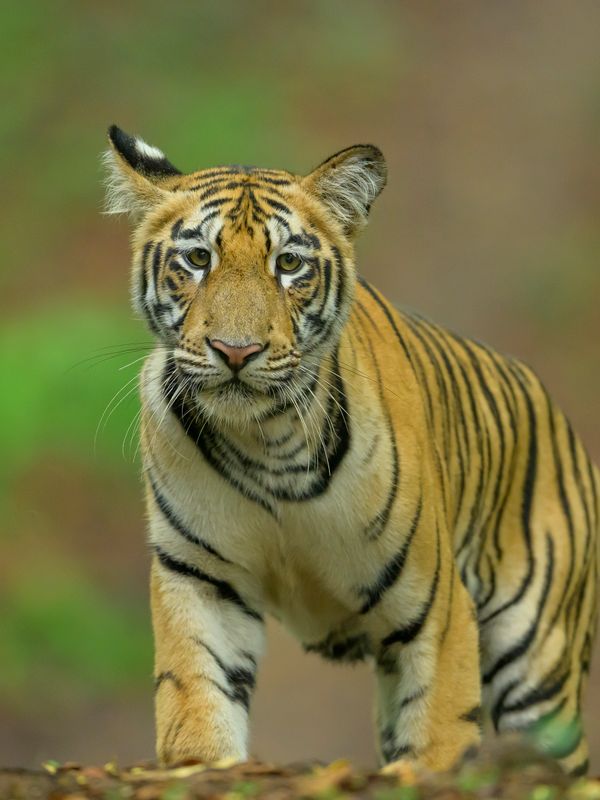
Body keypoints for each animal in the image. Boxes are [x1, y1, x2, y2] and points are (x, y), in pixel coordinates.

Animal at [104, 124, 598, 776]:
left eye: (288, 264)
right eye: (198, 258)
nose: (235, 351)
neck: (264, 439)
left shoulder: (436, 609)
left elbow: (438, 737)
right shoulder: (199, 576)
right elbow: (197, 702)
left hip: (537, 659)